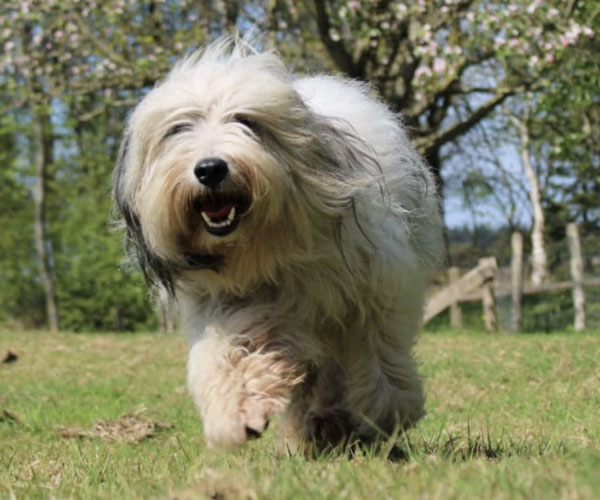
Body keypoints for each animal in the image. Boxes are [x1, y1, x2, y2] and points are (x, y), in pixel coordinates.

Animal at [113, 37, 444, 451]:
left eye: (245, 121)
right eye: (178, 129)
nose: (210, 169)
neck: (264, 247)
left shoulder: (373, 290)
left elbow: (377, 348)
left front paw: (386, 411)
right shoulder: (232, 302)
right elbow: (229, 351)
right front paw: (237, 409)